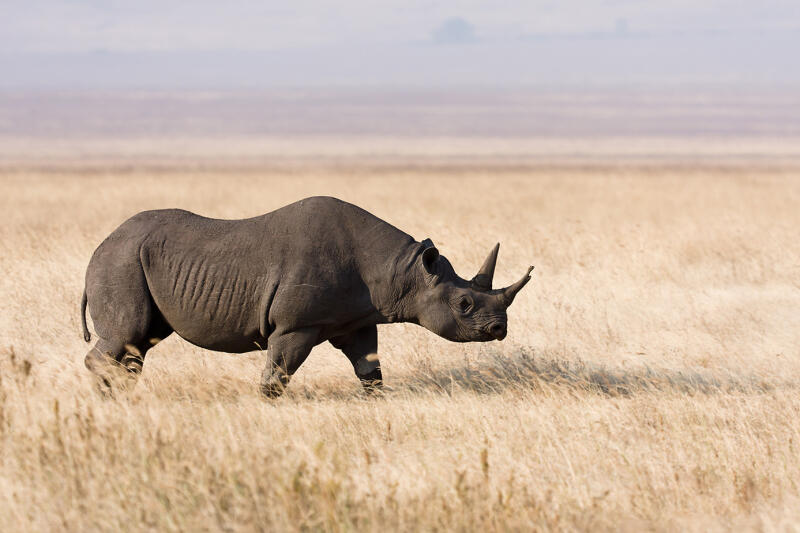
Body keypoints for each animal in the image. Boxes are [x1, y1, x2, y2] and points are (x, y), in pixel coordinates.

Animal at [81, 196, 533, 396]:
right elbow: (277, 375)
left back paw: (121, 396)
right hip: (121, 262)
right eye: (464, 305)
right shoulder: (296, 325)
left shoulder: (356, 319)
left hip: (131, 260)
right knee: (128, 333)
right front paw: (268, 406)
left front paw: (375, 402)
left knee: (140, 342)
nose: (499, 329)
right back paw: (109, 396)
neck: (403, 271)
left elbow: (370, 370)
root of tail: (100, 245)